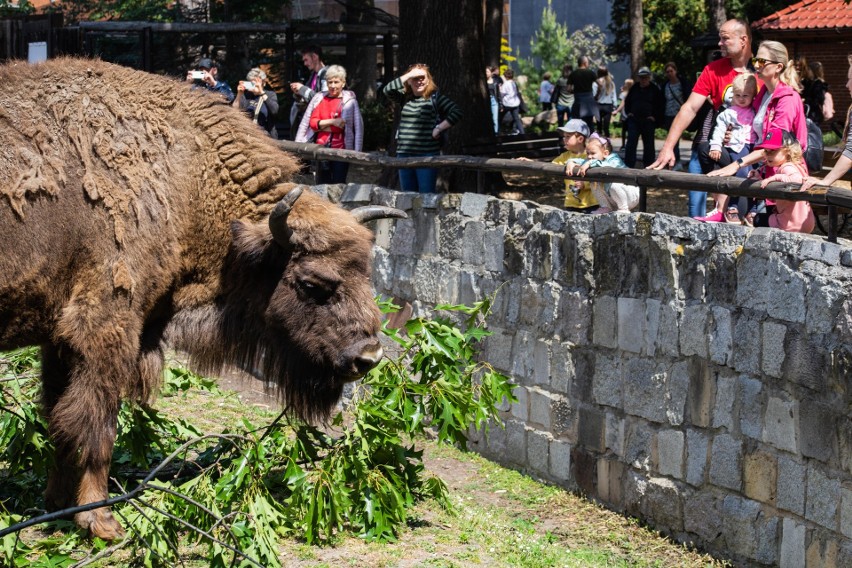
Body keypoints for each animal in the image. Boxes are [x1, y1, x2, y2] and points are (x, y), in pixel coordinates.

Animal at [0, 58, 404, 540]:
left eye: (366, 272)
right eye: (312, 284)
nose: (368, 356)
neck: (184, 175)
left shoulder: (59, 340)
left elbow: (60, 419)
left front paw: (58, 506)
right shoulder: (106, 329)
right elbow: (97, 422)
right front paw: (102, 520)